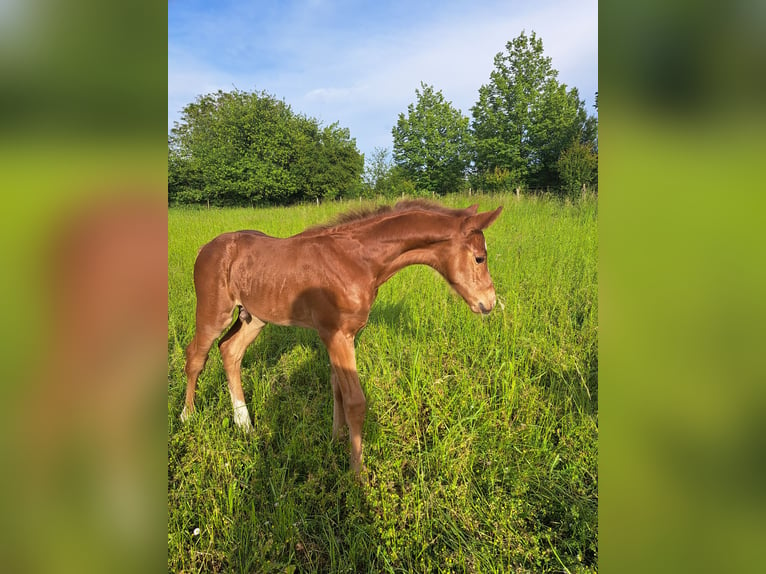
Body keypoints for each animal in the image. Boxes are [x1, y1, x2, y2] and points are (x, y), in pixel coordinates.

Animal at [181, 200, 504, 474]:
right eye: (479, 258)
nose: (488, 304)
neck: (357, 260)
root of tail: (205, 248)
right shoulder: (337, 335)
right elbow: (355, 402)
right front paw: (357, 473)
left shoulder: (342, 336)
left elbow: (336, 386)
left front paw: (336, 440)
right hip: (213, 313)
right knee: (196, 356)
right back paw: (188, 416)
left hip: (254, 317)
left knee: (230, 350)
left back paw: (244, 425)